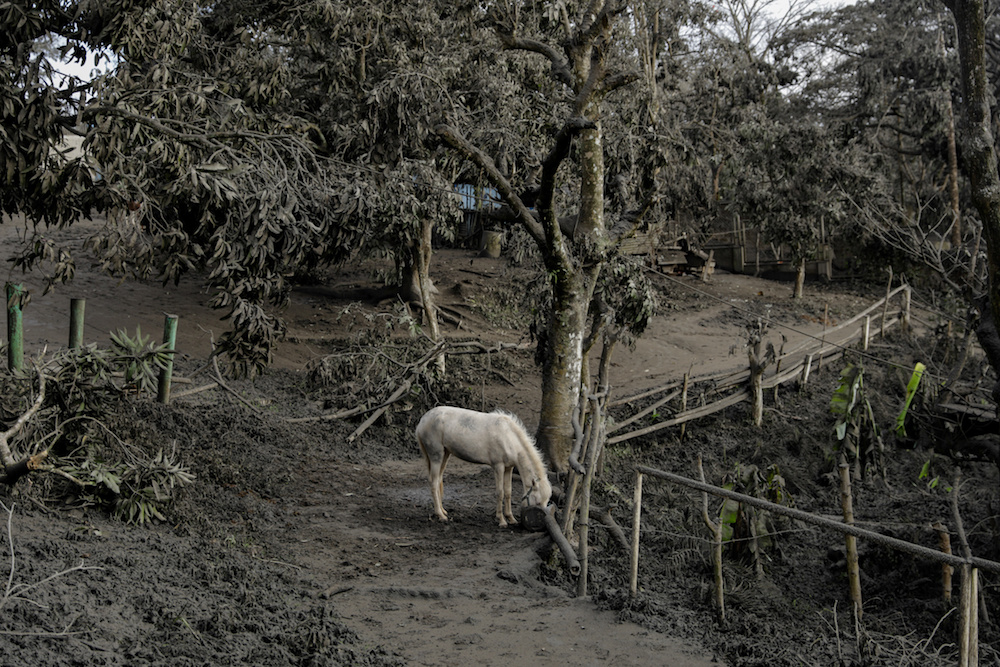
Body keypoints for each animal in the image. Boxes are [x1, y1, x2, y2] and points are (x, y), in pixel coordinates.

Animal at [415, 406, 552, 527]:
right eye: (538, 502)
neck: (508, 437)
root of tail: (422, 420)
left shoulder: (509, 468)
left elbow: (508, 492)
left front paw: (511, 518)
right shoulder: (498, 467)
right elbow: (500, 493)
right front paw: (502, 521)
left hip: (445, 454)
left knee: (438, 479)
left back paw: (443, 511)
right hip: (436, 456)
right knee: (433, 482)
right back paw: (440, 515)